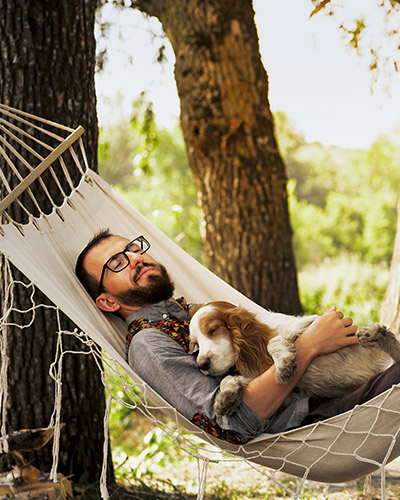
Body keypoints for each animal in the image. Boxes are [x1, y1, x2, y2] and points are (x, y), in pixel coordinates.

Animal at [189, 302, 400, 416]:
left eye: (213, 330)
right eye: (195, 344)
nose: (202, 365)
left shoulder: (309, 322)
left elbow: (274, 342)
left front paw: (284, 365)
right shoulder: (288, 394)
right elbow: (229, 378)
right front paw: (225, 398)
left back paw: (375, 333)